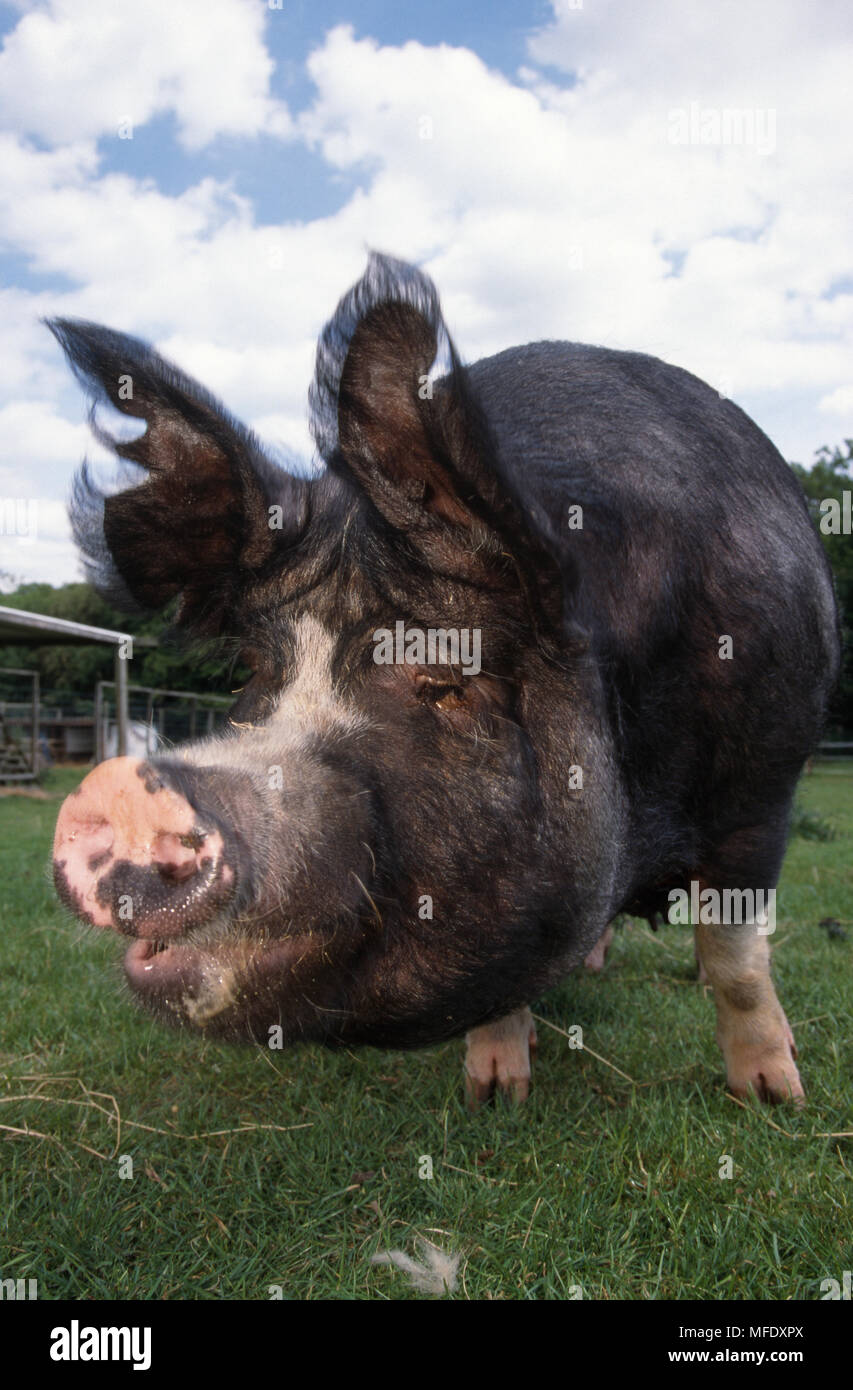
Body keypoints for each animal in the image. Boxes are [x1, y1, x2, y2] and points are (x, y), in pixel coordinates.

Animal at [50, 253, 840, 1107]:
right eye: (257, 672)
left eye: (444, 678)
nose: (122, 788)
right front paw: (494, 1096)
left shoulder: (762, 785)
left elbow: (736, 956)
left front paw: (773, 1099)